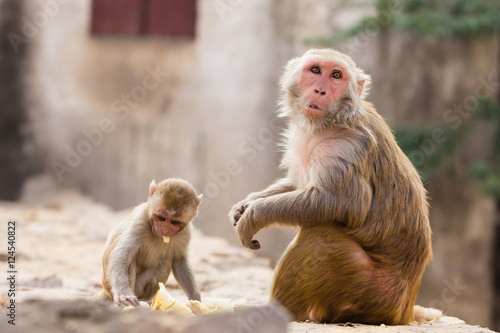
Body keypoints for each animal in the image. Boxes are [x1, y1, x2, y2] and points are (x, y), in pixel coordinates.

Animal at [229, 49, 440, 324]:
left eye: (336, 76)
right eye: (315, 70)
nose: (320, 91)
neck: (327, 123)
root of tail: (404, 310)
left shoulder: (347, 146)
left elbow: (341, 203)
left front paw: (254, 214)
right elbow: (297, 185)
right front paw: (246, 203)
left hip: (367, 291)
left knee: (320, 237)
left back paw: (278, 312)